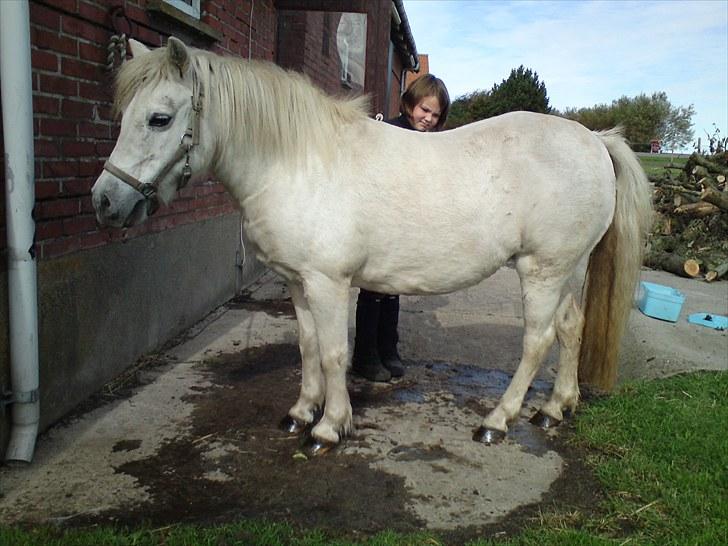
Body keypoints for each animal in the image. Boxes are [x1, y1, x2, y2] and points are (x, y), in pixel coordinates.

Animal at [92, 38, 656, 452]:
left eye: (160, 118)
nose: (104, 201)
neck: (299, 160)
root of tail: (594, 140)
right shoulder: (298, 283)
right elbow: (308, 346)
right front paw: (301, 412)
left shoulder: (328, 282)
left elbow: (334, 352)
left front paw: (329, 427)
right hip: (567, 271)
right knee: (571, 329)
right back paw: (555, 408)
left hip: (542, 271)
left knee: (537, 341)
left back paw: (498, 420)